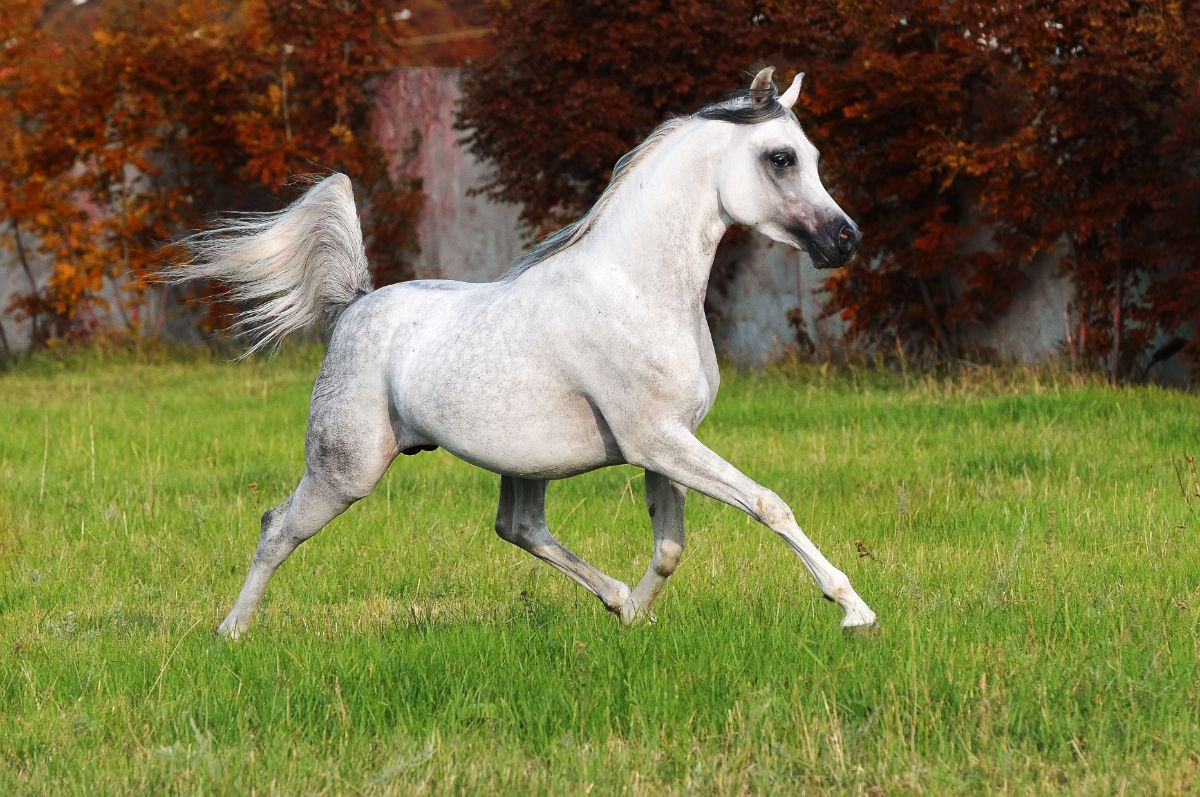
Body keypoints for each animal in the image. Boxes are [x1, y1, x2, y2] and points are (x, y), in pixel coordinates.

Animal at [174, 68, 878, 643]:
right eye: (781, 158)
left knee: (519, 528)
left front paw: (635, 615)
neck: (637, 288)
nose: (846, 240)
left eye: (812, 156)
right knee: (277, 526)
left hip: (523, 463)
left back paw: (615, 599)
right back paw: (231, 631)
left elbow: (670, 545)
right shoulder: (657, 439)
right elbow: (768, 503)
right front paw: (855, 611)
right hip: (345, 470)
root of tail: (355, 305)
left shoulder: (666, 442)